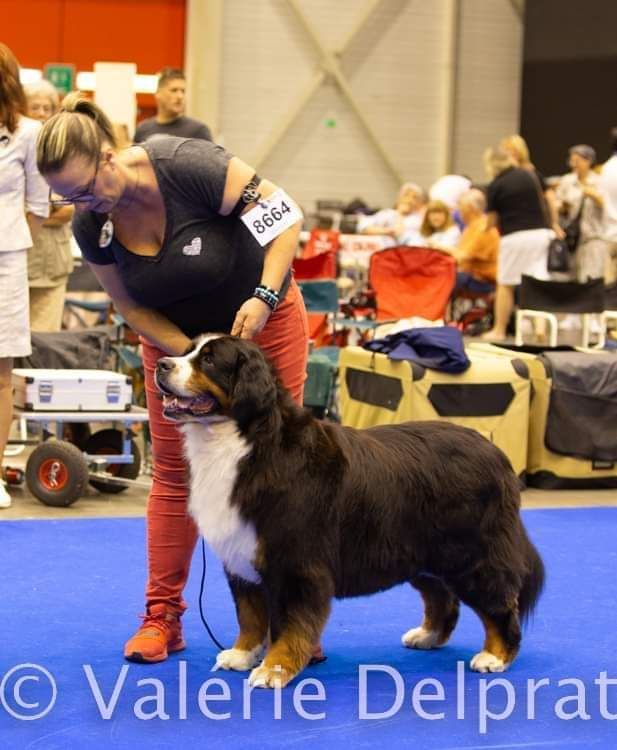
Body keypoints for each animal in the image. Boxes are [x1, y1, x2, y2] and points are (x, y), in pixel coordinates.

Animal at [155, 338, 544, 692]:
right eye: (188, 351)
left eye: (208, 360)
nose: (161, 364)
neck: (245, 442)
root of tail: (495, 452)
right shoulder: (243, 557)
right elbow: (250, 615)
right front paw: (242, 654)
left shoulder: (296, 564)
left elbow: (289, 625)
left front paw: (274, 669)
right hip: (422, 552)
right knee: (442, 597)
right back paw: (428, 636)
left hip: (471, 554)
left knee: (499, 604)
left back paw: (496, 655)